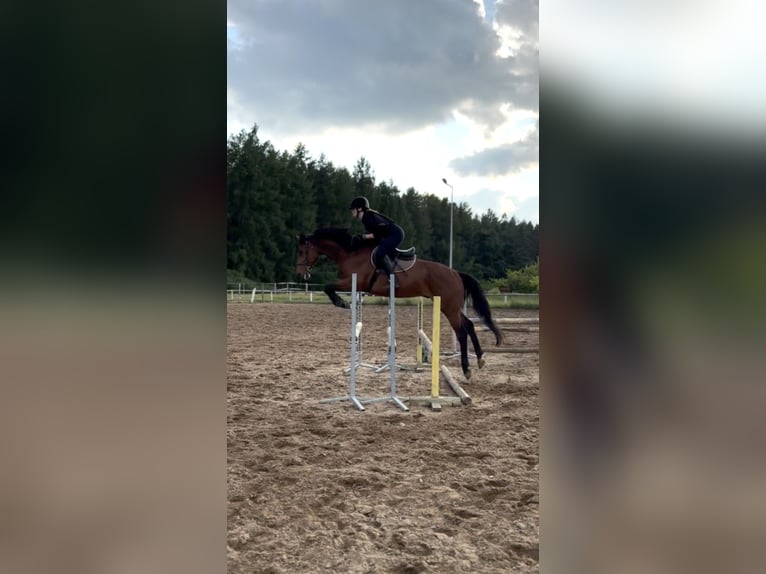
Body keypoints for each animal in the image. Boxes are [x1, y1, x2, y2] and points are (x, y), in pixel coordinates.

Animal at [296, 228, 503, 379]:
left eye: (301, 251)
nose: (301, 273)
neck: (350, 253)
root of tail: (456, 274)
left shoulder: (353, 281)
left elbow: (327, 286)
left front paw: (341, 302)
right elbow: (328, 287)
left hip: (448, 308)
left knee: (461, 332)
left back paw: (466, 369)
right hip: (450, 307)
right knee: (469, 325)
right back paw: (480, 359)